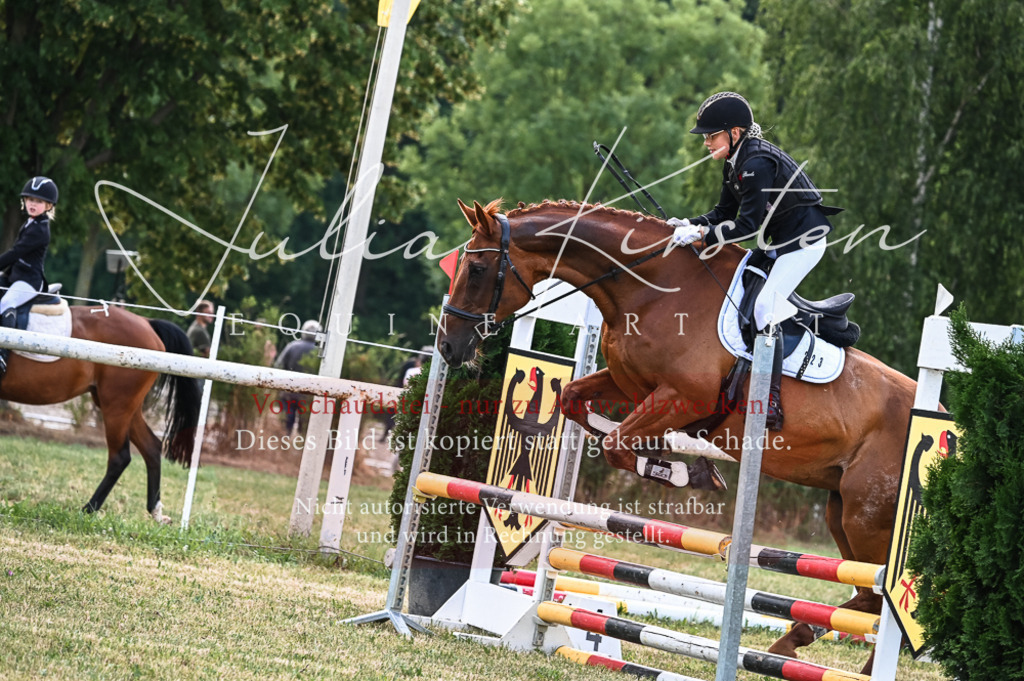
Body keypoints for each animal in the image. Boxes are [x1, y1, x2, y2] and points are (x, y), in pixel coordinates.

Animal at [0, 305, 201, 522]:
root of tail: (147, 324)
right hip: (125, 408)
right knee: (151, 447)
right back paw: (155, 511)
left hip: (116, 406)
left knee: (120, 457)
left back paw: (87, 510)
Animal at [437, 199, 917, 674]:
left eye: (476, 269)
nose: (448, 347)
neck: (651, 289)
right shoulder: (630, 384)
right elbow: (577, 402)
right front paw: (681, 456)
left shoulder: (682, 396)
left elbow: (618, 445)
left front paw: (682, 471)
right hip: (841, 511)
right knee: (868, 597)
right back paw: (791, 647)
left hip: (866, 519)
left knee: (878, 598)